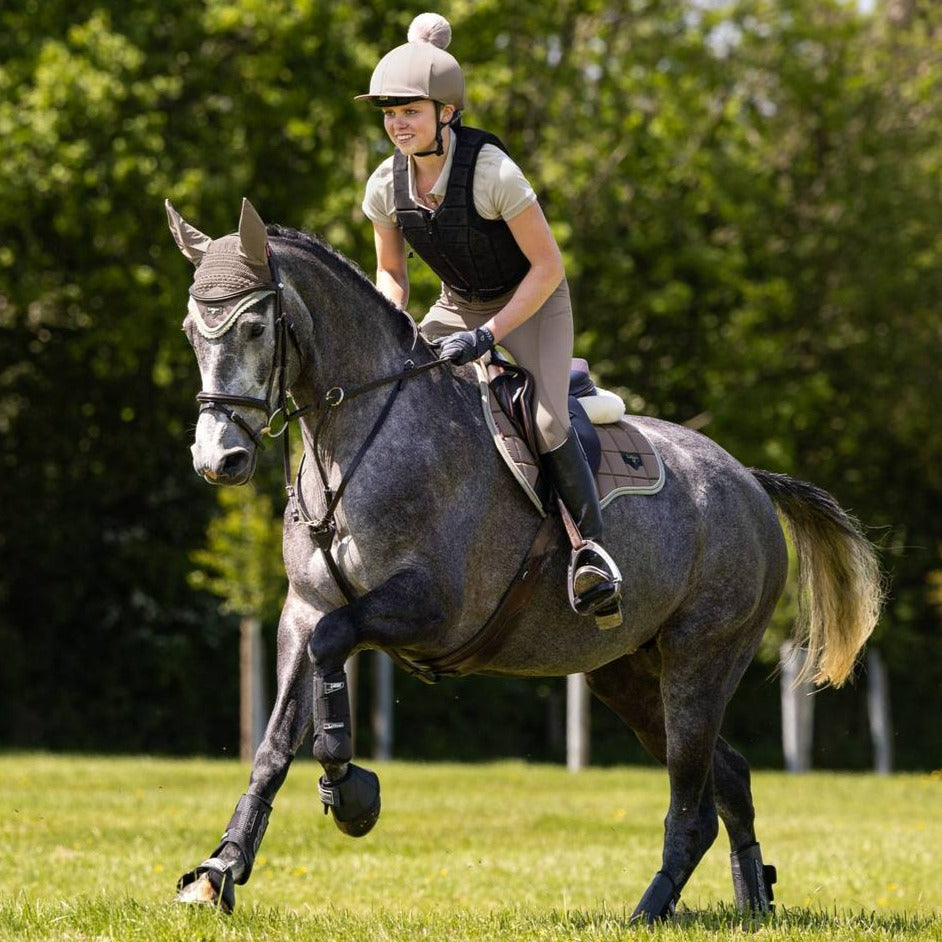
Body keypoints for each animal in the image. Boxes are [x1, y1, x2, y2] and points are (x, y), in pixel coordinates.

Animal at [166, 201, 880, 920]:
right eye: (191, 332)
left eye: (255, 327)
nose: (217, 459)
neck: (359, 436)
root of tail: (750, 482)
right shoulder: (303, 609)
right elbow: (275, 742)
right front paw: (218, 872)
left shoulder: (433, 609)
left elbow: (333, 649)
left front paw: (349, 792)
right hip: (626, 671)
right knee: (726, 776)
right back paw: (752, 898)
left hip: (700, 659)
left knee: (691, 795)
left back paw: (650, 908)